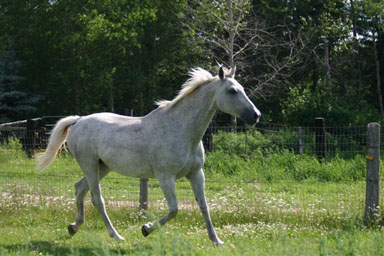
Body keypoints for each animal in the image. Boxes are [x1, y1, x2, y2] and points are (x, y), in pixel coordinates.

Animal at [36, 65, 260, 244]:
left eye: (242, 89)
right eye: (232, 91)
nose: (256, 115)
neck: (180, 129)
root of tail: (79, 120)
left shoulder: (196, 173)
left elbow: (204, 206)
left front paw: (216, 240)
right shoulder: (165, 176)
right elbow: (174, 209)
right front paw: (146, 229)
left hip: (102, 166)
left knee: (80, 189)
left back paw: (74, 227)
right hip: (90, 165)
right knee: (97, 198)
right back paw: (116, 235)